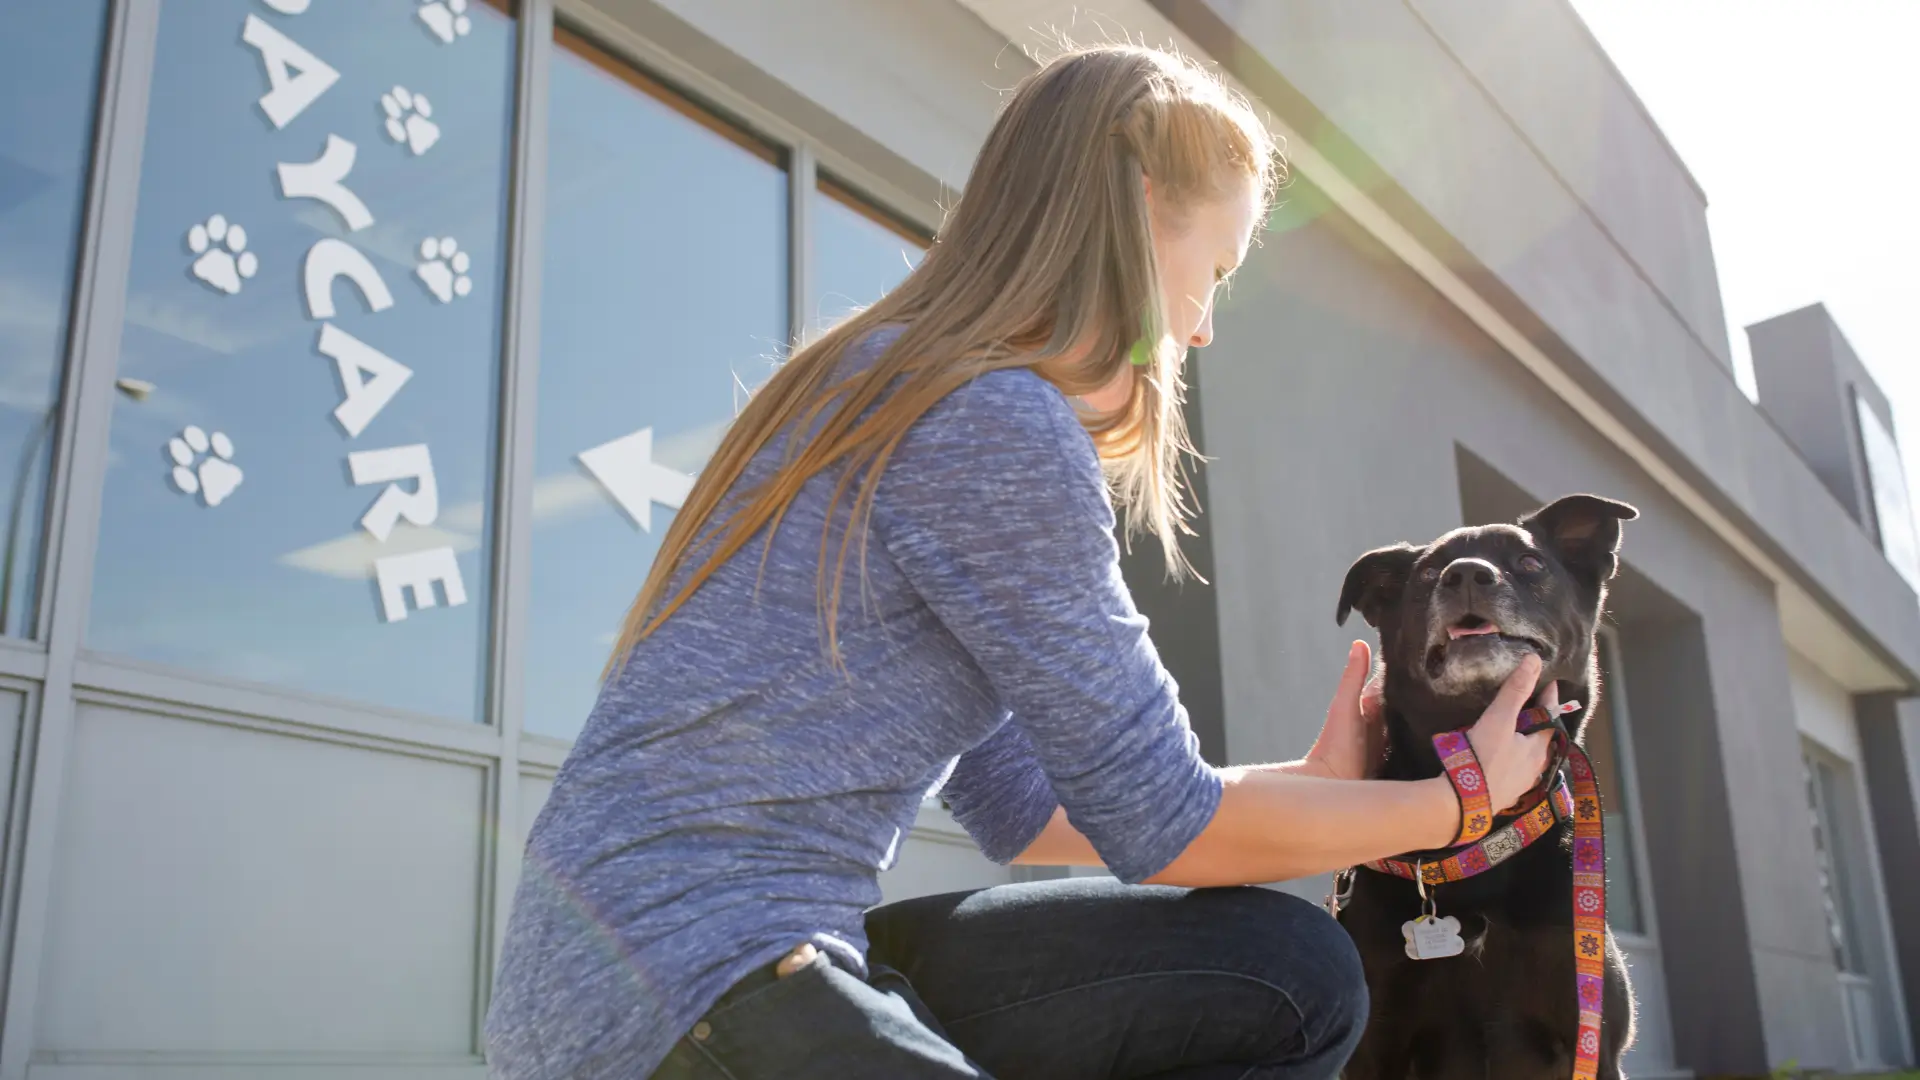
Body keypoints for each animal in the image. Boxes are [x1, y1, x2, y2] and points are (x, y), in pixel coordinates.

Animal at [1336, 495, 1635, 1076]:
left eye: (1530, 562)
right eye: (1429, 573)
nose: (1466, 574)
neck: (1485, 840)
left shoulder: (1592, 1038)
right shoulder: (1373, 1044)